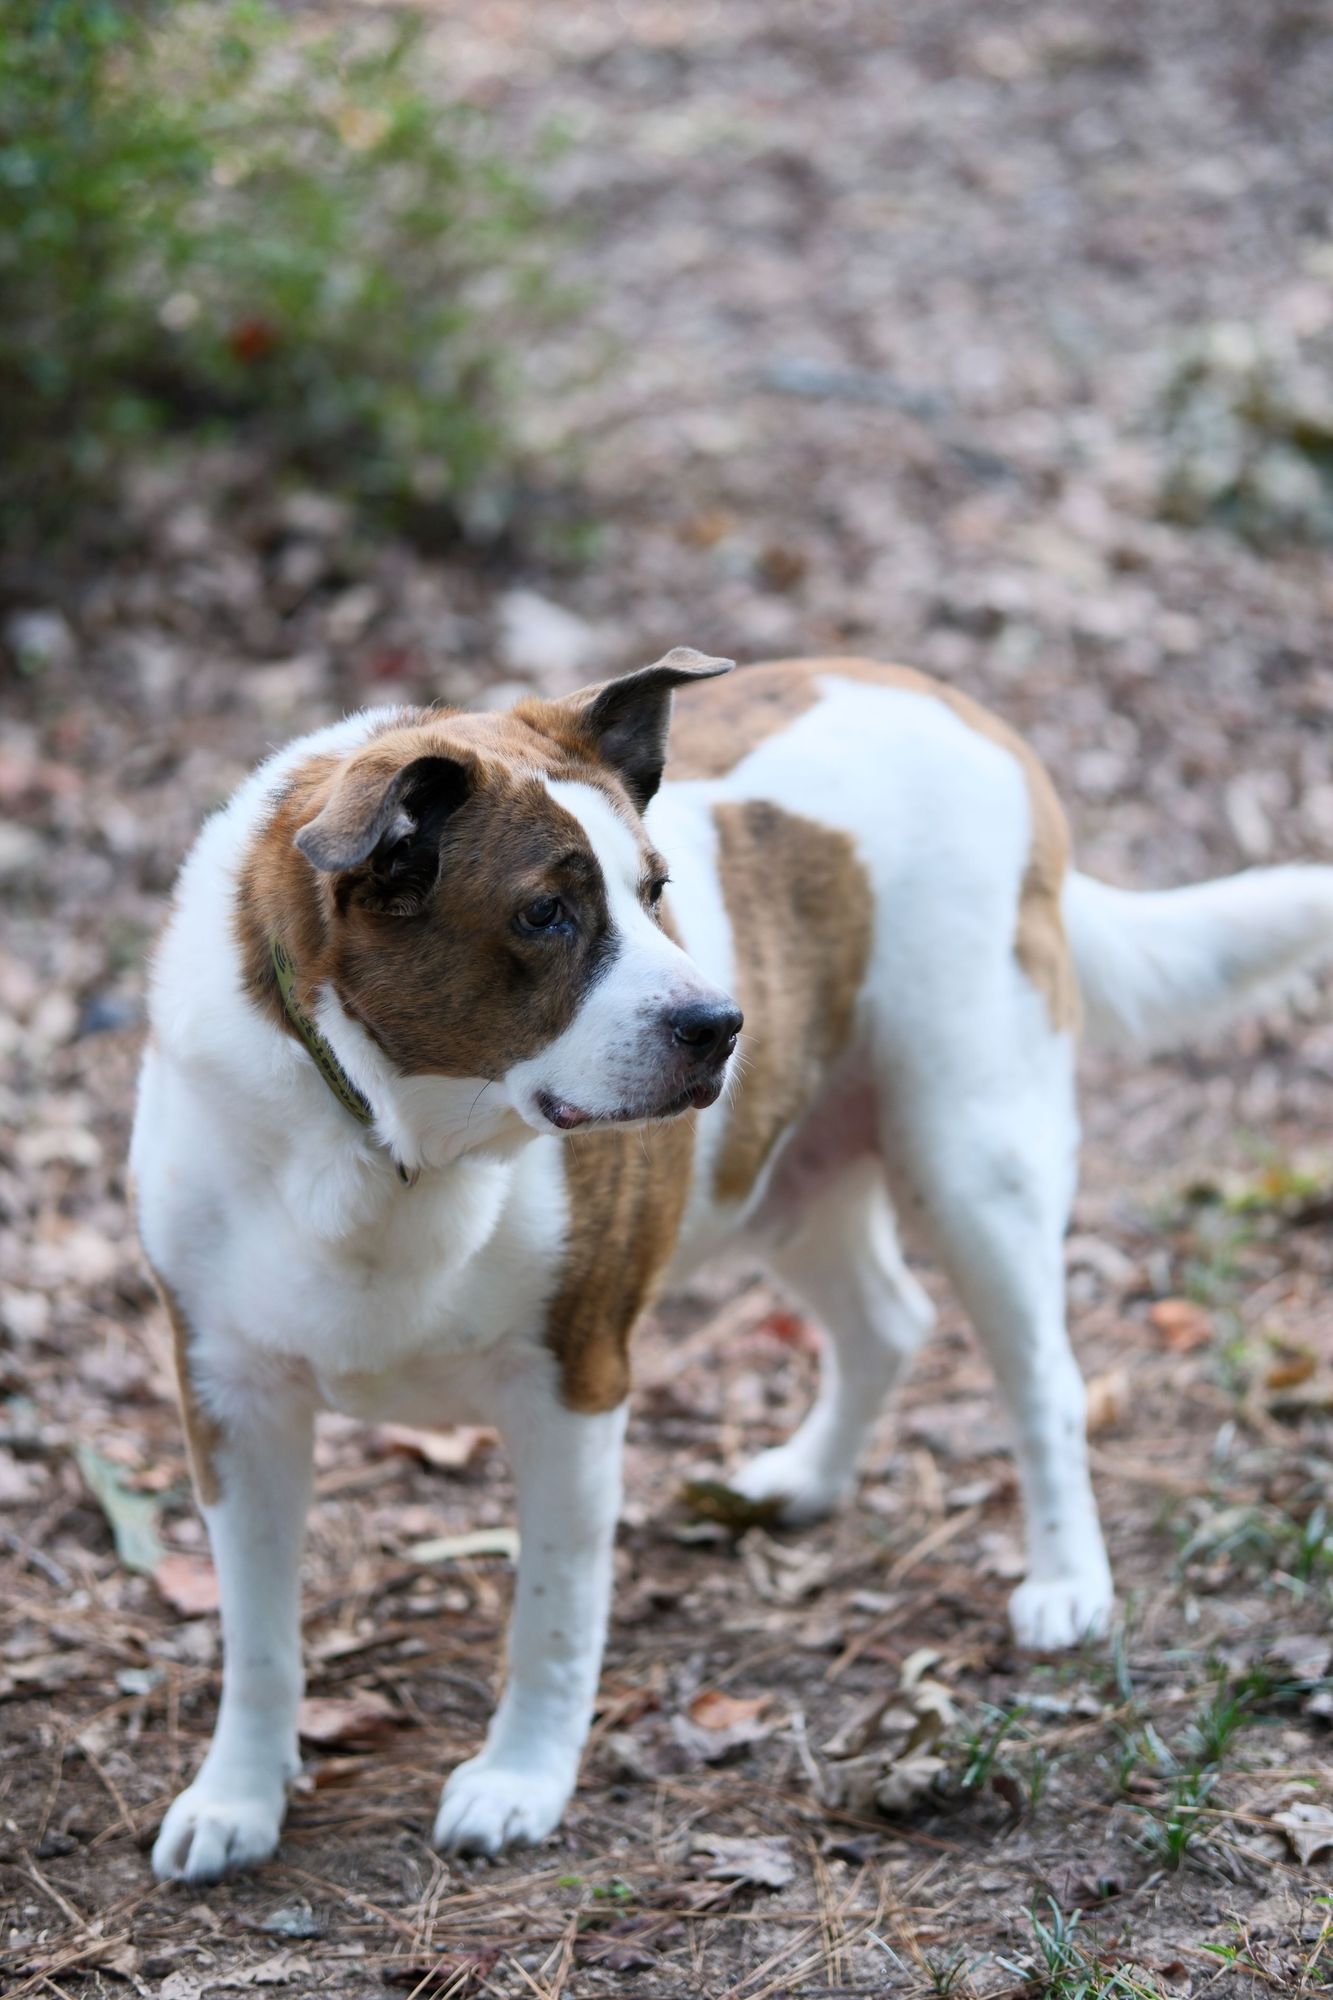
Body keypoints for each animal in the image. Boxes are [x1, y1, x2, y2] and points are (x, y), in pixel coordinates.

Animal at [132, 652, 1328, 1872]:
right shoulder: (229, 1394)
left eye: (657, 889)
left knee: (1043, 1381)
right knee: (887, 1321)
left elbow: (551, 1612)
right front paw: (238, 1797)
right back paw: (802, 1479)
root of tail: (944, 693)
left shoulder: (575, 1383)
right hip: (789, 1175)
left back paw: (1065, 1579)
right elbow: (257, 1633)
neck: (388, 1135)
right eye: (545, 912)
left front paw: (520, 1777)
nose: (722, 1023)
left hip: (972, 1158)